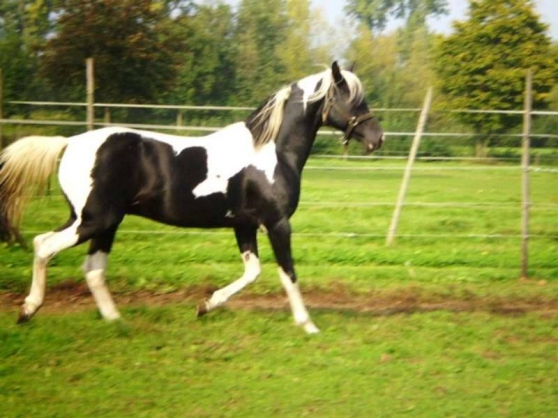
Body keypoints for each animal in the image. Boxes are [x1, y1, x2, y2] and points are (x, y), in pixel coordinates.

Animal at [0, 61, 384, 334]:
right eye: (352, 98)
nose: (376, 137)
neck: (271, 151)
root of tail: (69, 143)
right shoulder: (277, 224)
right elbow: (287, 272)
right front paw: (308, 324)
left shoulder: (244, 225)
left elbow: (253, 272)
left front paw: (205, 305)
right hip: (94, 219)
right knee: (44, 245)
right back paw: (28, 310)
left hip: (101, 222)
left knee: (91, 269)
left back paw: (116, 321)